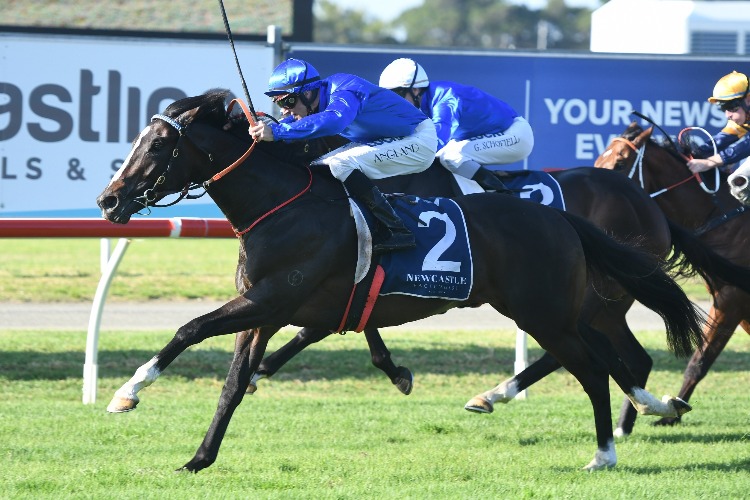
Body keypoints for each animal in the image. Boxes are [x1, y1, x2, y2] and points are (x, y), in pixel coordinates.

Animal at [97, 91, 708, 472]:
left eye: (157, 146)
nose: (108, 200)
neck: (284, 205)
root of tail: (560, 218)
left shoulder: (269, 299)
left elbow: (190, 328)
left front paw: (128, 392)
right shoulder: (271, 310)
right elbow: (232, 384)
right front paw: (198, 458)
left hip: (553, 311)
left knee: (593, 368)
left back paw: (603, 449)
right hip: (567, 309)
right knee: (611, 360)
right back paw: (642, 409)